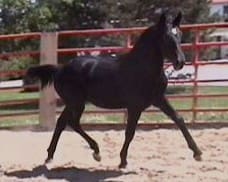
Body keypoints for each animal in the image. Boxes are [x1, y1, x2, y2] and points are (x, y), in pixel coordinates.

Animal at [27, 11, 202, 168]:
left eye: (179, 34)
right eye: (166, 37)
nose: (180, 62)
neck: (142, 69)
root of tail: (60, 69)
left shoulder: (159, 99)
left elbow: (178, 119)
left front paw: (197, 153)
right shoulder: (134, 107)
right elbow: (130, 132)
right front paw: (123, 161)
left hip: (73, 103)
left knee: (63, 123)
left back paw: (51, 156)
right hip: (76, 103)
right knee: (72, 122)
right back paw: (95, 151)